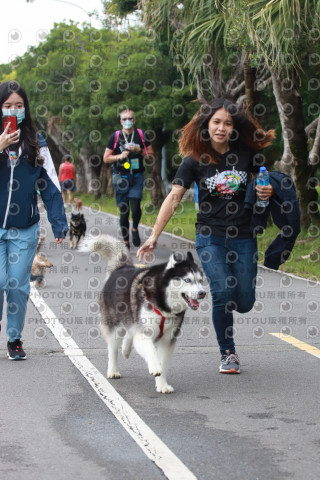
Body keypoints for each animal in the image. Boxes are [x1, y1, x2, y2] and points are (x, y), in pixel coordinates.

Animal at [80, 233, 205, 394]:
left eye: (200, 280)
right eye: (187, 280)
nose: (202, 293)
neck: (164, 304)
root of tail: (120, 268)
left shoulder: (168, 339)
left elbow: (163, 362)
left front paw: (162, 384)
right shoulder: (144, 332)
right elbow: (151, 351)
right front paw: (155, 367)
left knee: (129, 335)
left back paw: (126, 349)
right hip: (114, 325)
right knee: (113, 348)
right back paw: (113, 370)